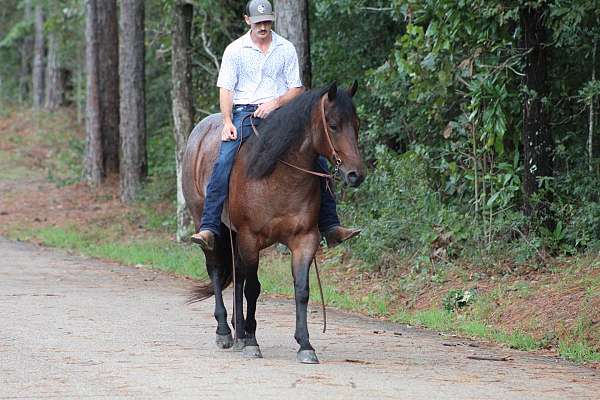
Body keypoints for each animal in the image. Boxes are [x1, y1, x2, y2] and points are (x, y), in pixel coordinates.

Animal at [180, 81, 366, 362]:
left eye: (356, 124)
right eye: (333, 125)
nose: (356, 175)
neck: (279, 175)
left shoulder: (304, 239)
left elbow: (302, 289)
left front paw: (305, 345)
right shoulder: (250, 238)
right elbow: (253, 289)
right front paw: (252, 343)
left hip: (235, 236)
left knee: (237, 274)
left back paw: (239, 331)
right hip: (206, 224)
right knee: (216, 270)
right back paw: (226, 332)